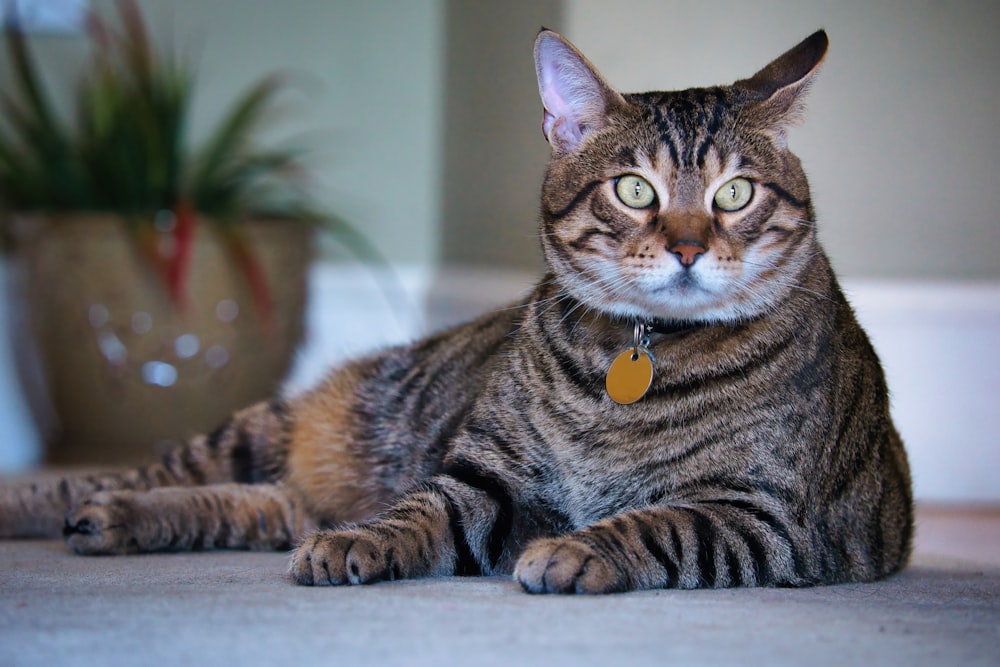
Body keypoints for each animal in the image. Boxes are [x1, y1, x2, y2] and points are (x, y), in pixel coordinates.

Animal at [0, 30, 912, 596]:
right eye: (633, 189)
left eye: (734, 193)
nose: (688, 247)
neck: (631, 360)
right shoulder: (485, 476)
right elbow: (417, 509)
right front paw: (362, 540)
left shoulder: (764, 517)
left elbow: (660, 524)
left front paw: (577, 549)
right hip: (264, 427)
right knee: (121, 475)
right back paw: (63, 508)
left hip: (282, 483)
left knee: (246, 506)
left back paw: (117, 523)